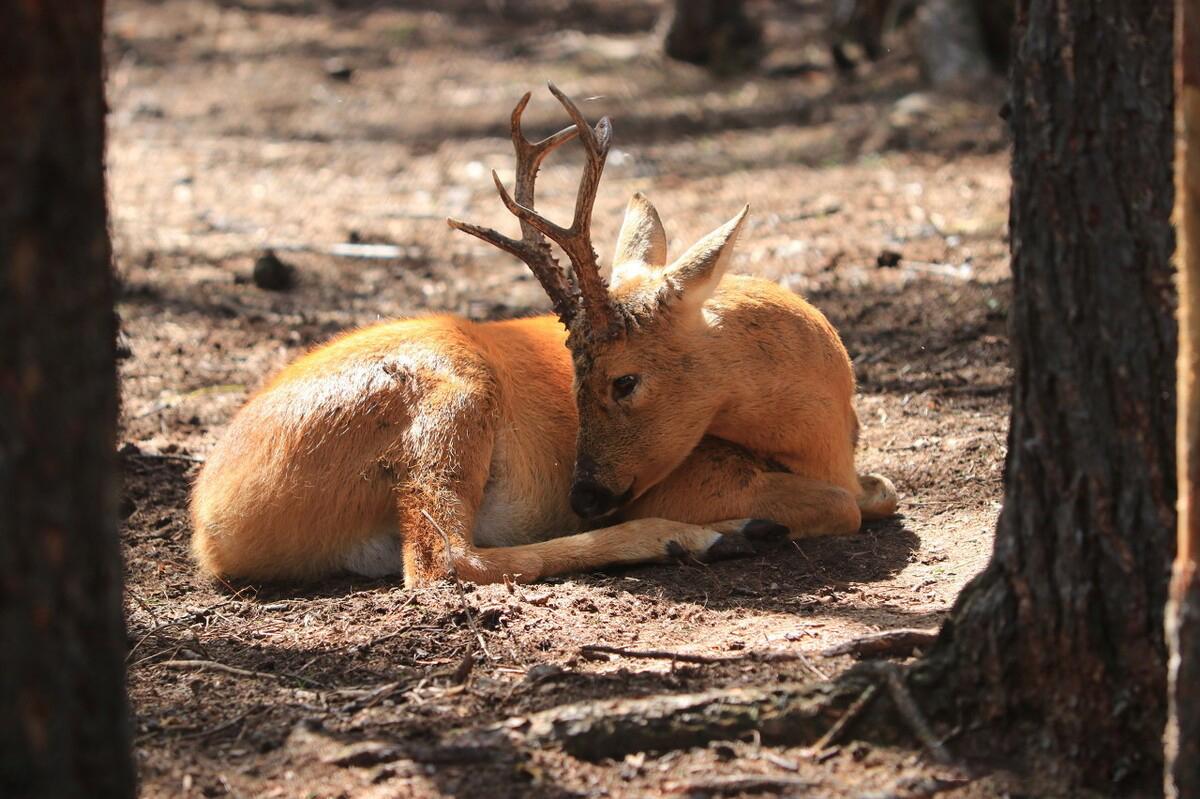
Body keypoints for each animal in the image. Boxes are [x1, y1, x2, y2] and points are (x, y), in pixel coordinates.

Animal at [189, 85, 902, 585]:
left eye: (624, 379)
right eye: (574, 371)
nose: (584, 494)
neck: (819, 436)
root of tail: (210, 526)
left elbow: (881, 492)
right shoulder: (686, 476)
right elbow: (841, 504)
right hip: (448, 397)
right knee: (443, 561)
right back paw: (712, 537)